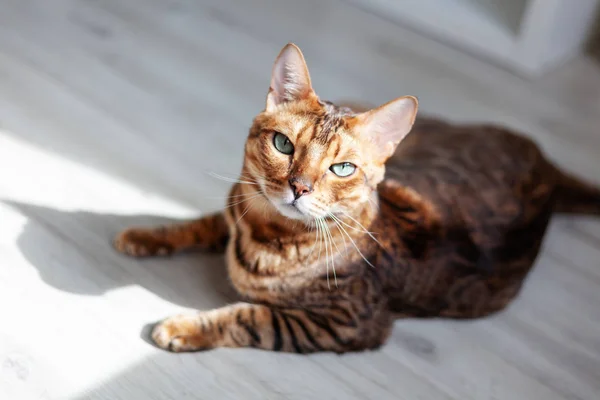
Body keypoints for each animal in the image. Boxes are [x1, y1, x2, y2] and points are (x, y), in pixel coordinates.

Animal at [115, 41, 600, 354]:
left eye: (342, 168)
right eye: (284, 145)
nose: (299, 186)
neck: (267, 232)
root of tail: (545, 161)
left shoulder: (343, 322)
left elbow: (248, 317)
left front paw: (183, 326)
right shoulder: (238, 207)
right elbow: (199, 223)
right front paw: (144, 235)